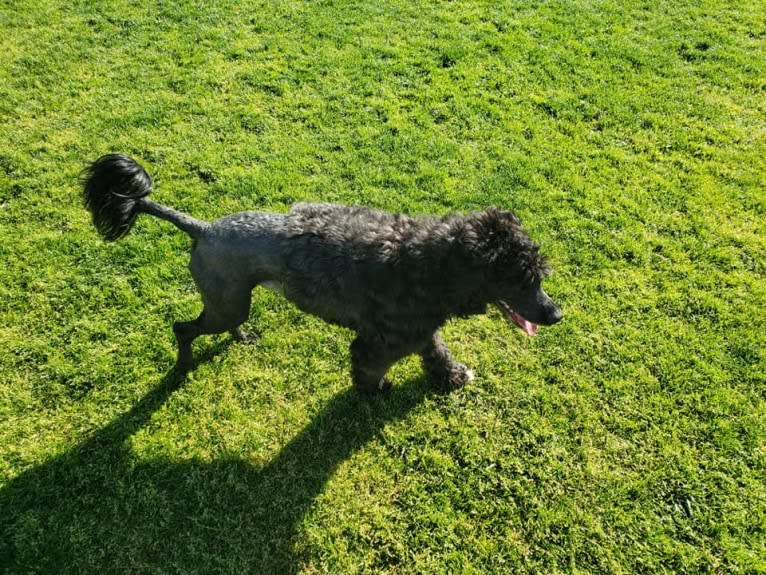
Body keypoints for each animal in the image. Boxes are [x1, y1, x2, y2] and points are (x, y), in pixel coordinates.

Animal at [82, 154, 564, 392]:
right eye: (522, 279)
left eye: (539, 275)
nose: (556, 314)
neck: (431, 260)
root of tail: (202, 228)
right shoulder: (380, 340)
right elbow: (369, 367)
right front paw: (373, 391)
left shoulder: (420, 328)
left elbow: (436, 351)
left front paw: (450, 377)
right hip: (225, 304)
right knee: (183, 329)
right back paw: (182, 367)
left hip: (231, 304)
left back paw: (241, 338)